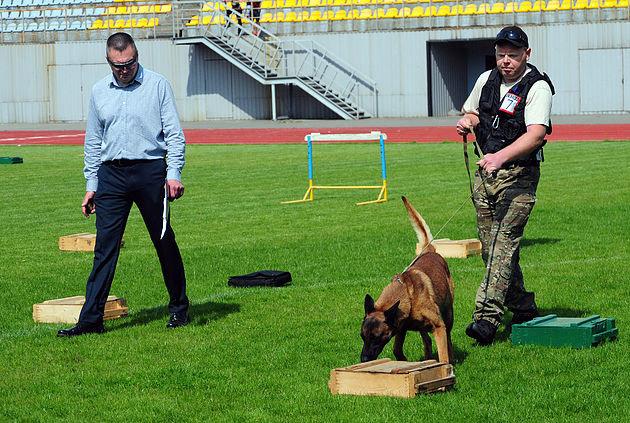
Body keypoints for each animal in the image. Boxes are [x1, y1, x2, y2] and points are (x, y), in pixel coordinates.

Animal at [362, 196, 456, 364]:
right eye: (362, 336)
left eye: (376, 337)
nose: (364, 359)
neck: (409, 296)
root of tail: (428, 250)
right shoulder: (401, 329)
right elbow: (397, 349)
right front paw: (404, 360)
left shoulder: (439, 326)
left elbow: (443, 354)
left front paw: (446, 366)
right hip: (424, 327)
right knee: (427, 339)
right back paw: (427, 357)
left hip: (448, 313)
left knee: (448, 338)